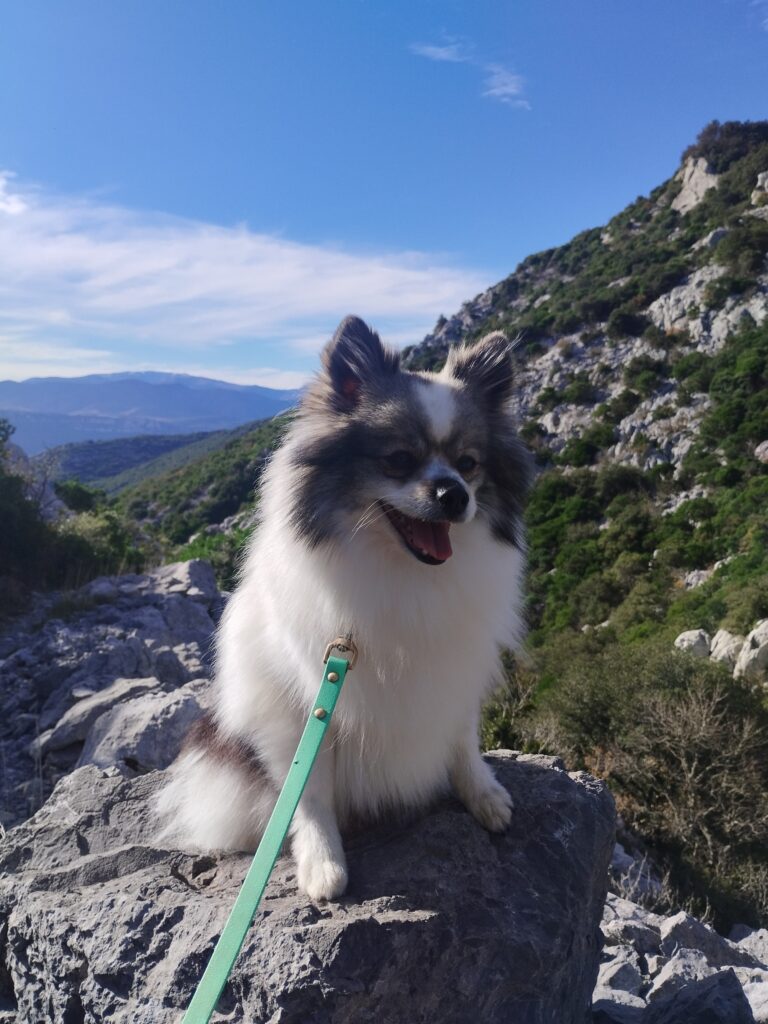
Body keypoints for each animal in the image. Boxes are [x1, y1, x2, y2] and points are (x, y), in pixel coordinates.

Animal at [157, 315, 532, 900]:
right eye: (399, 460)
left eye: (469, 465)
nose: (455, 495)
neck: (404, 575)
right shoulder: (300, 707)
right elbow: (309, 793)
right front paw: (322, 861)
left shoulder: (455, 675)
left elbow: (462, 741)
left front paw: (484, 794)